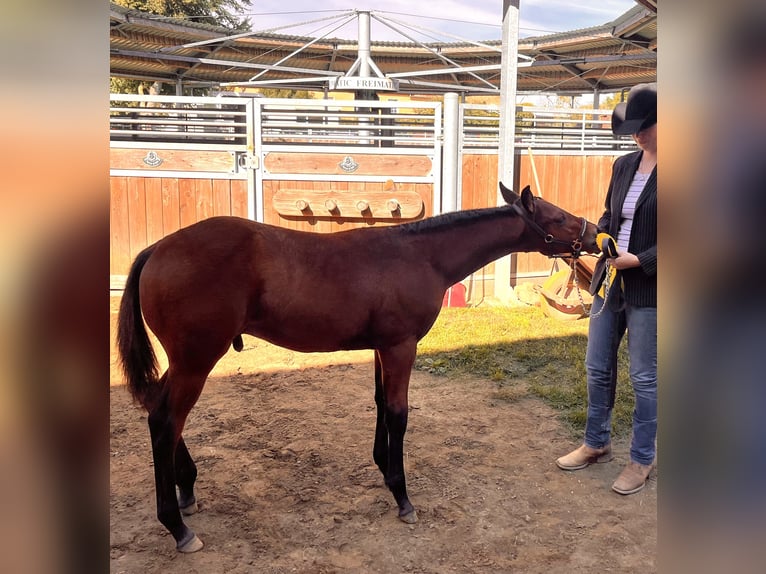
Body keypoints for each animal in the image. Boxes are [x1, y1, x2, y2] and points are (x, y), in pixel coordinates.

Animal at [116, 182, 598, 552]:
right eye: (557, 217)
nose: (597, 235)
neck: (420, 255)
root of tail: (157, 249)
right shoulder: (401, 347)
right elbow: (399, 415)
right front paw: (402, 496)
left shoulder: (382, 348)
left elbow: (381, 404)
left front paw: (384, 470)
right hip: (196, 361)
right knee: (166, 422)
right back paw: (178, 527)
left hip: (185, 362)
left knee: (160, 412)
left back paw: (187, 490)